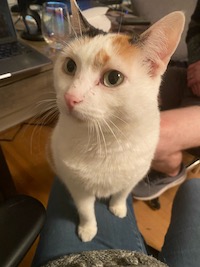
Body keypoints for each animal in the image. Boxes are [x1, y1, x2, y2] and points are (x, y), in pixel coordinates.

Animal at [51, 0, 184, 243]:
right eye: (70, 66)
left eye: (113, 78)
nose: (70, 97)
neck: (105, 139)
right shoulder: (77, 186)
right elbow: (85, 209)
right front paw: (88, 229)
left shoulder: (136, 173)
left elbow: (122, 192)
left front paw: (118, 208)